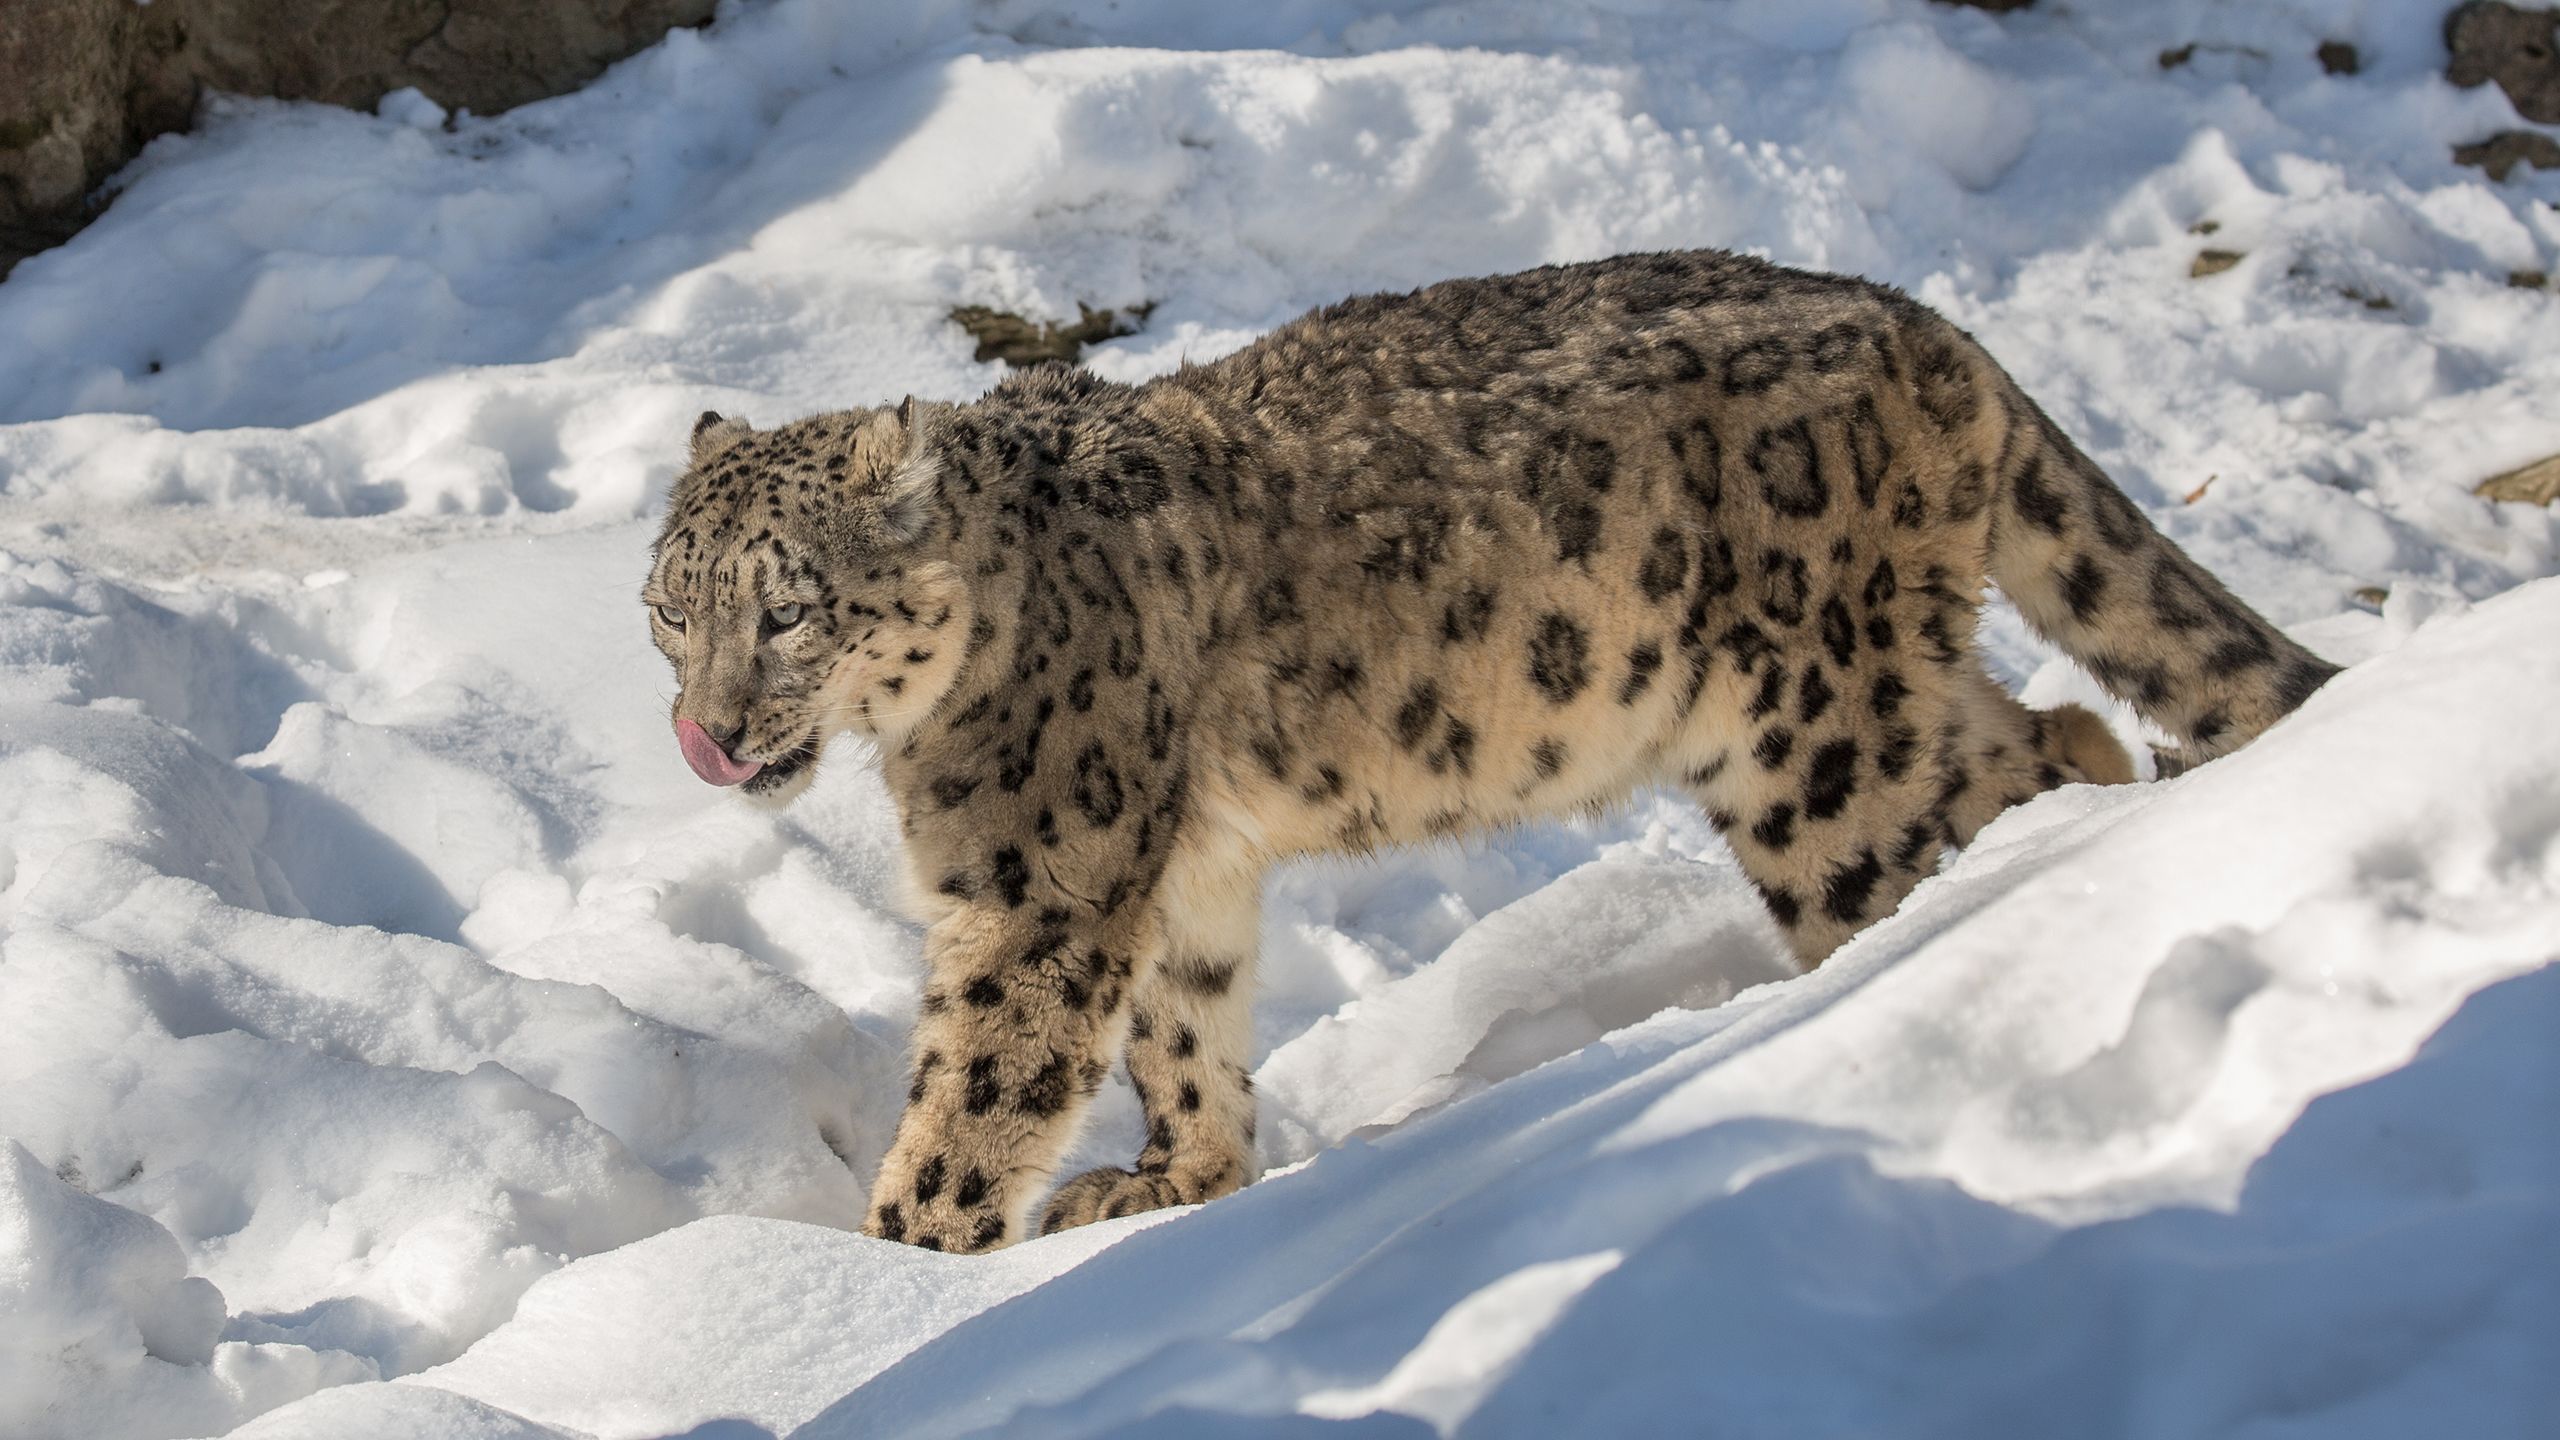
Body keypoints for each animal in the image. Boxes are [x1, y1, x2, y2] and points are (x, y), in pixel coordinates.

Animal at [634, 245, 2344, 1245]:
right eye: (666, 607)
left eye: (787, 611)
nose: (706, 736)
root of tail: (1928, 327)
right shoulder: (1177, 867)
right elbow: (1186, 1025)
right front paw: (1176, 1182)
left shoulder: (1039, 882)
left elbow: (978, 1091)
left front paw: (906, 1273)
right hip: (1876, 692)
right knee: (2051, 733)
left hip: (1812, 738)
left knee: (1917, 851)